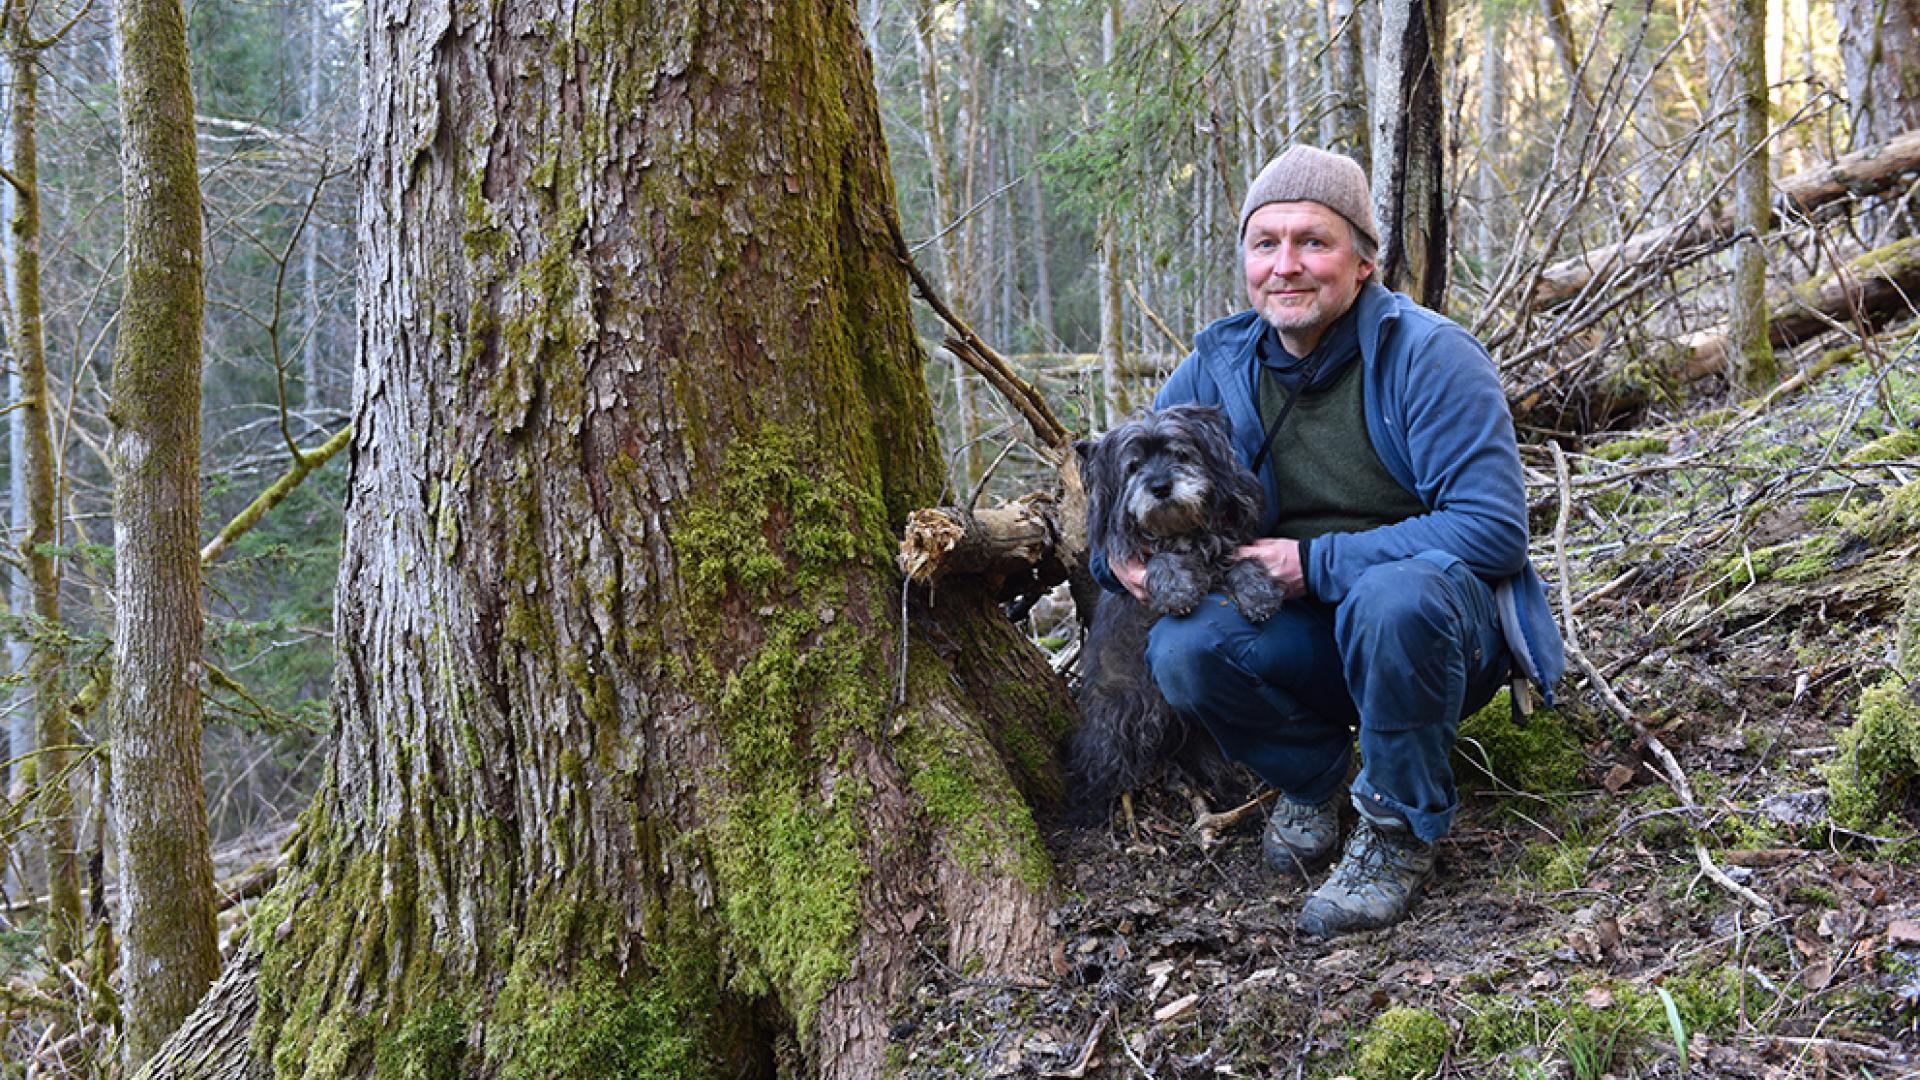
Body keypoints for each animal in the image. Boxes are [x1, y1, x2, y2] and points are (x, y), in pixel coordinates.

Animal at [1075, 403, 1282, 814]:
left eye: (1180, 454)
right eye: (1133, 466)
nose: (1160, 487)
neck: (1180, 530)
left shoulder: (1226, 550)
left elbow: (1242, 562)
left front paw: (1259, 592)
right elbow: (1160, 560)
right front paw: (1176, 589)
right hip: (1119, 717)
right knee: (1100, 764)